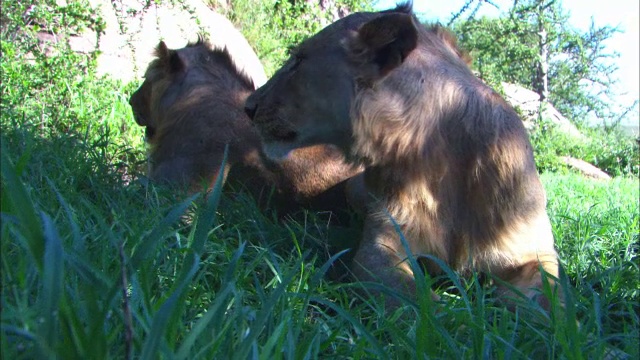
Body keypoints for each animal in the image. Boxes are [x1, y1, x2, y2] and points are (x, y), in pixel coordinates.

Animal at [245, 3, 560, 310]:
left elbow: (551, 302)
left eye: (298, 60)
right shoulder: (382, 244)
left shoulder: (533, 252)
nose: (248, 106)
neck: (436, 158)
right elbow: (421, 302)